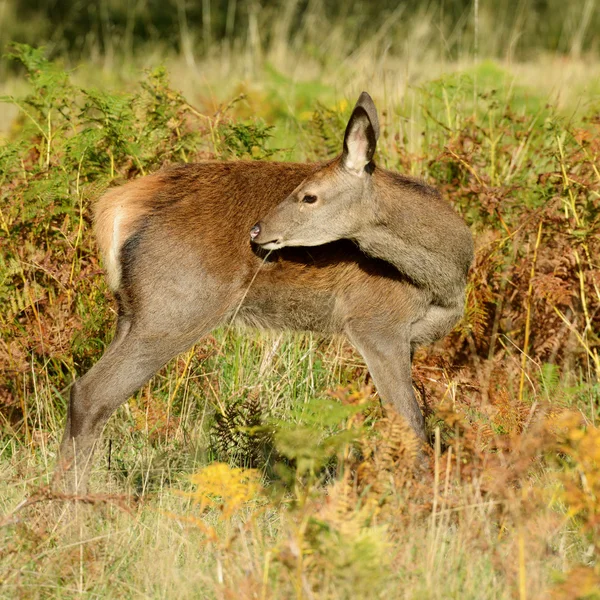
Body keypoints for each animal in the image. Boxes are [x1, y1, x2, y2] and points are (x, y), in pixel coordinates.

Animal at [55, 90, 474, 492]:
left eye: (309, 196)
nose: (256, 230)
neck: (445, 276)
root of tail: (116, 205)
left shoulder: (409, 339)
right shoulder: (375, 323)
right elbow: (410, 421)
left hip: (132, 310)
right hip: (176, 306)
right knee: (91, 393)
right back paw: (72, 503)